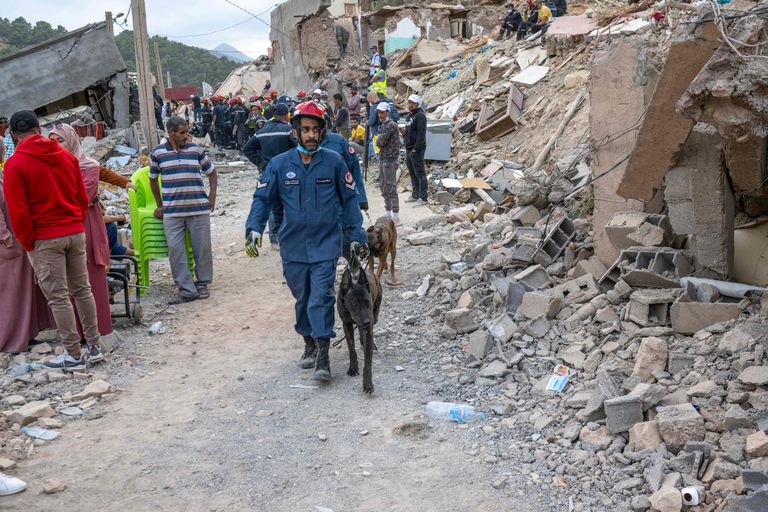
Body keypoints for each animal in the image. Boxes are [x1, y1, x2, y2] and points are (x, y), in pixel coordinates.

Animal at [338, 254, 382, 394]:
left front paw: (367, 383)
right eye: (355, 304)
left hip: (375, 315)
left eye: (367, 302)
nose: (367, 321)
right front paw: (353, 367)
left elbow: (368, 361)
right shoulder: (346, 324)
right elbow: (351, 348)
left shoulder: (368, 325)